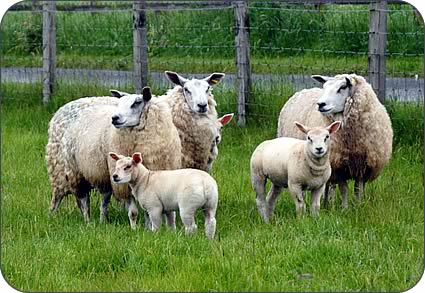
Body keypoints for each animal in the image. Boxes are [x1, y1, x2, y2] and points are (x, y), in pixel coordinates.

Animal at [45, 86, 181, 228]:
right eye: (119, 103)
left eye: (136, 103)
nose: (114, 118)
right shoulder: (123, 183)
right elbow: (133, 212)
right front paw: (134, 229)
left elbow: (147, 211)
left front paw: (148, 228)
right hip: (73, 172)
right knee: (80, 200)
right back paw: (81, 221)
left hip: (103, 174)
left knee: (103, 200)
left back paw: (102, 220)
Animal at [276, 74, 392, 209]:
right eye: (324, 87)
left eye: (342, 87)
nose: (320, 104)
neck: (353, 139)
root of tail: (302, 91)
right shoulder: (339, 165)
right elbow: (344, 189)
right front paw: (345, 208)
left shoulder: (363, 165)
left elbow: (358, 189)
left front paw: (358, 206)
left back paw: (327, 202)